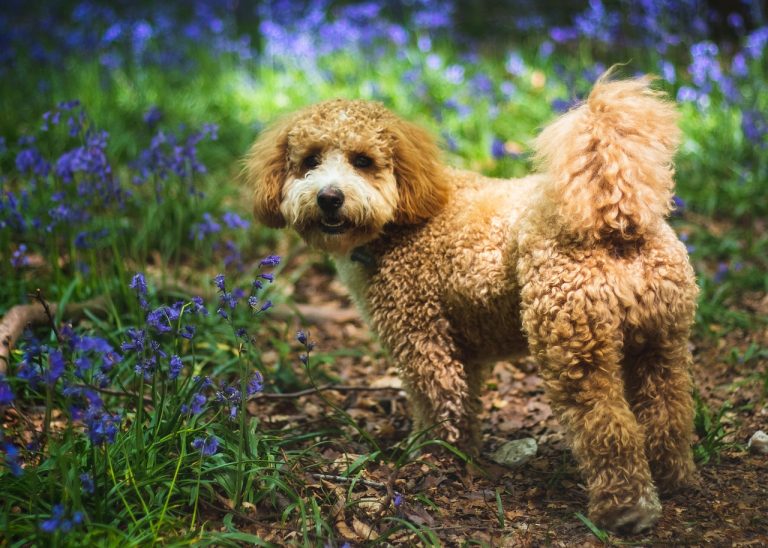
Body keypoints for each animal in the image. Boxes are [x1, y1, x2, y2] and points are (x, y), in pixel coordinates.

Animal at [243, 75, 700, 532]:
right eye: (310, 160)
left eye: (363, 160)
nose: (329, 198)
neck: (404, 217)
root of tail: (615, 219)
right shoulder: (466, 347)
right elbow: (464, 405)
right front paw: (464, 452)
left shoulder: (421, 338)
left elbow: (437, 403)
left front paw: (429, 458)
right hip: (662, 342)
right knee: (669, 414)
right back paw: (672, 478)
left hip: (573, 346)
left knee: (609, 425)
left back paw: (625, 507)